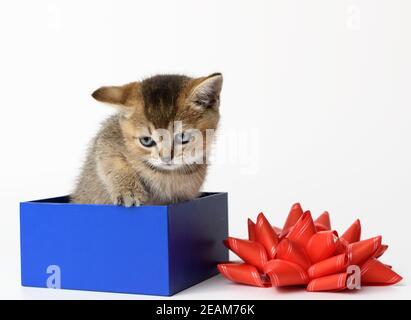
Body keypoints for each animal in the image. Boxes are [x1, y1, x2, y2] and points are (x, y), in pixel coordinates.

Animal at [72, 73, 224, 205]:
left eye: (182, 137)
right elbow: (112, 162)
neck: (166, 175)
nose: (166, 159)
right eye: (146, 141)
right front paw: (129, 191)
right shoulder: (107, 138)